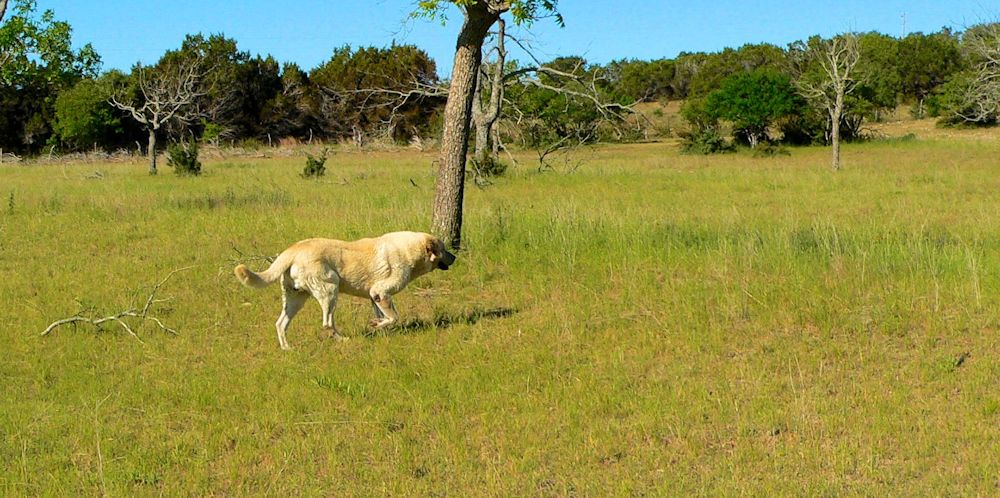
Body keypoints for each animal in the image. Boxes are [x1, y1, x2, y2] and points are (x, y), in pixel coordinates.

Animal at [232, 231, 456, 348]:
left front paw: (379, 327)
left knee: (280, 324)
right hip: (330, 290)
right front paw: (377, 325)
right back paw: (342, 340)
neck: (411, 251)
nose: (455, 257)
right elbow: (394, 317)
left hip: (296, 299)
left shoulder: (374, 297)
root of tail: (293, 249)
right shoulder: (380, 292)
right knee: (327, 323)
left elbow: (385, 318)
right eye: (444, 249)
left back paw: (287, 348)